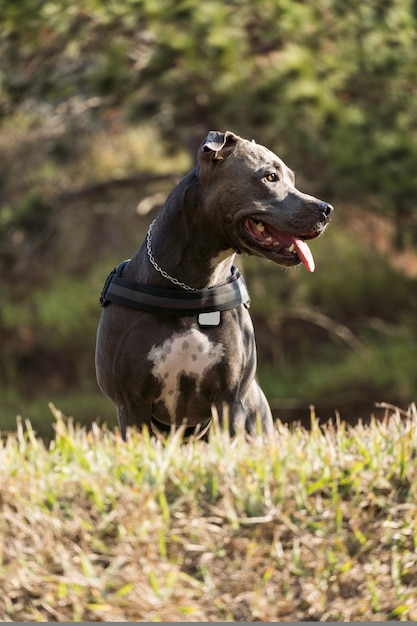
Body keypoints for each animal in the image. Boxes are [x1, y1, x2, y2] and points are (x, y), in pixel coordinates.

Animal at [95, 129, 332, 436]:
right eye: (270, 177)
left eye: (291, 178)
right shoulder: (131, 405)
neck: (190, 287)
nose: (327, 209)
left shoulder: (229, 399)